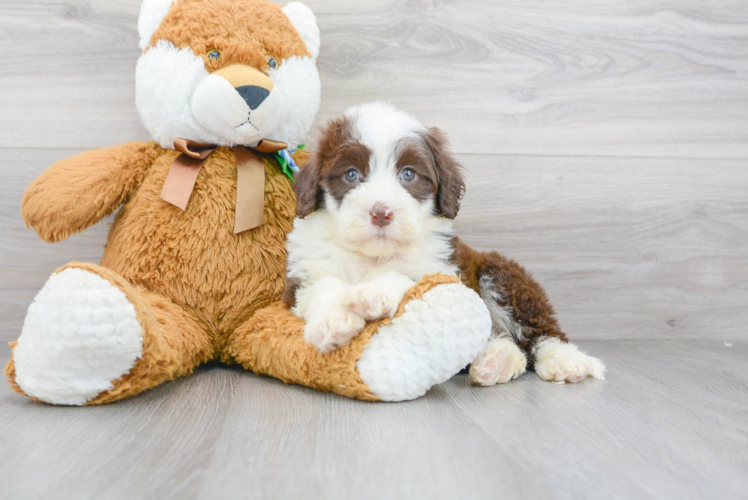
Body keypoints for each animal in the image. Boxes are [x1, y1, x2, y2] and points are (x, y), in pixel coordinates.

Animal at [284, 100, 604, 382]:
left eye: (408, 174)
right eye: (351, 174)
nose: (381, 213)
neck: (374, 255)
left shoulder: (444, 269)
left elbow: (406, 277)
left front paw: (373, 294)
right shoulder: (302, 277)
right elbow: (323, 287)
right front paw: (332, 321)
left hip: (502, 273)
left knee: (542, 332)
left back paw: (565, 360)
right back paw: (496, 360)